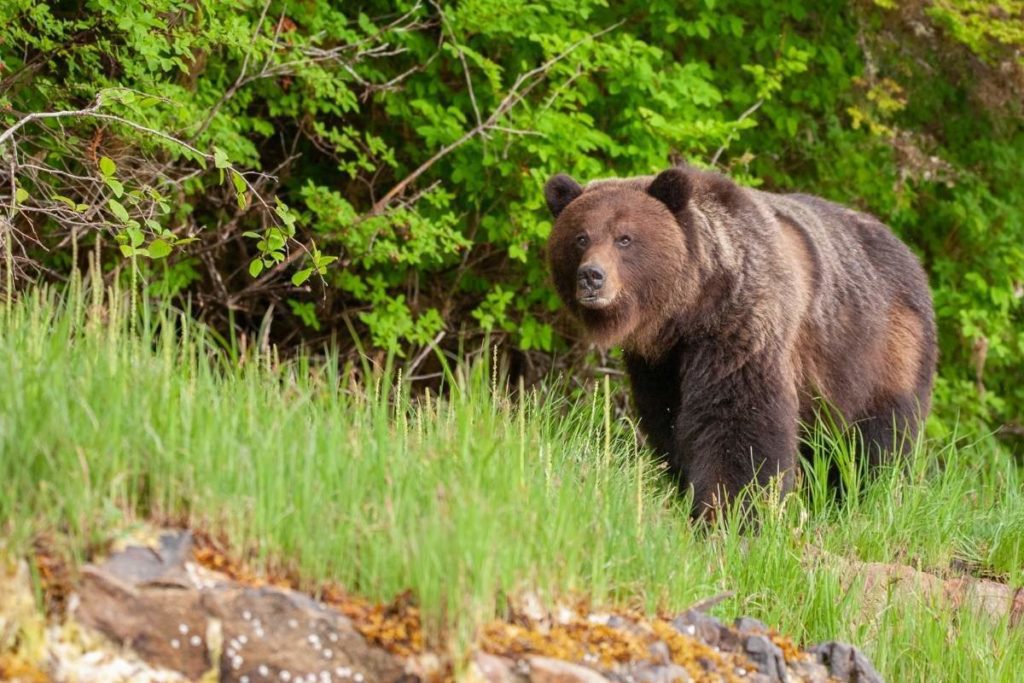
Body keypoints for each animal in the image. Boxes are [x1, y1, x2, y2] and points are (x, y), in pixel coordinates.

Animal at [544, 166, 937, 518]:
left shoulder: (741, 325)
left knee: (878, 438)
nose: (592, 276)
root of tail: (909, 254)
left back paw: (867, 497)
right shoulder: (659, 363)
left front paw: (729, 510)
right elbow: (668, 420)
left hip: (881, 347)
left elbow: (739, 419)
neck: (689, 309)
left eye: (624, 238)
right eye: (581, 237)